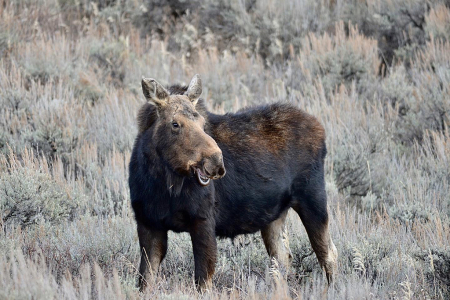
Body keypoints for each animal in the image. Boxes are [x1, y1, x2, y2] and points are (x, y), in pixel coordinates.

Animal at [128, 74, 336, 290]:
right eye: (175, 124)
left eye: (202, 123)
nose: (216, 162)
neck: (162, 184)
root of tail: (320, 128)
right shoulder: (148, 222)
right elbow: (145, 280)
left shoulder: (203, 220)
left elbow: (202, 281)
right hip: (275, 214)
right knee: (283, 257)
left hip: (313, 198)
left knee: (328, 253)